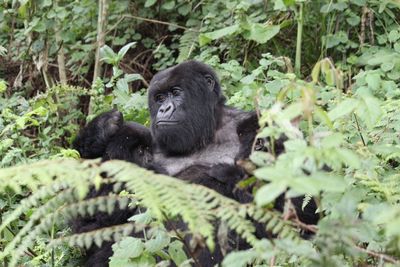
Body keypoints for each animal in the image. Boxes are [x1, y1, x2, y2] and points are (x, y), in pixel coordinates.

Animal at [72, 59, 318, 266]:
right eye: (159, 98)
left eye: (175, 93)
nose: (164, 109)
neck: (206, 133)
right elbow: (89, 226)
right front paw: (101, 130)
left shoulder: (262, 124)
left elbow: (302, 210)